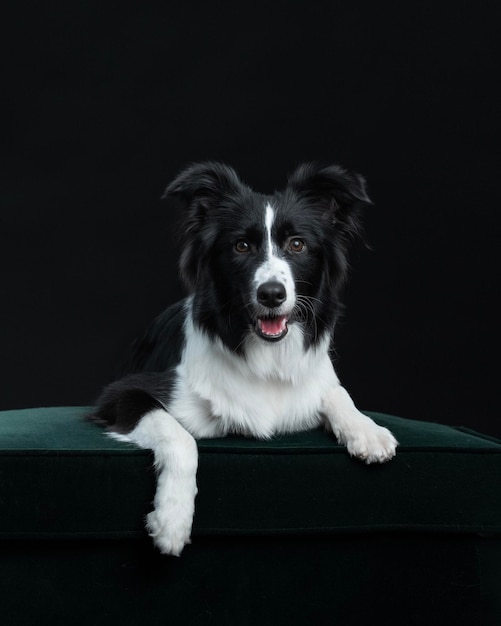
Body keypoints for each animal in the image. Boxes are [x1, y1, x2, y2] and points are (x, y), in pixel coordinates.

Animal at [91, 160, 398, 552]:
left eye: (297, 244)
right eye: (241, 246)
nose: (271, 294)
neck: (267, 356)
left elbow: (336, 391)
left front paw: (367, 430)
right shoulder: (120, 394)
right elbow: (181, 436)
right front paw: (172, 520)